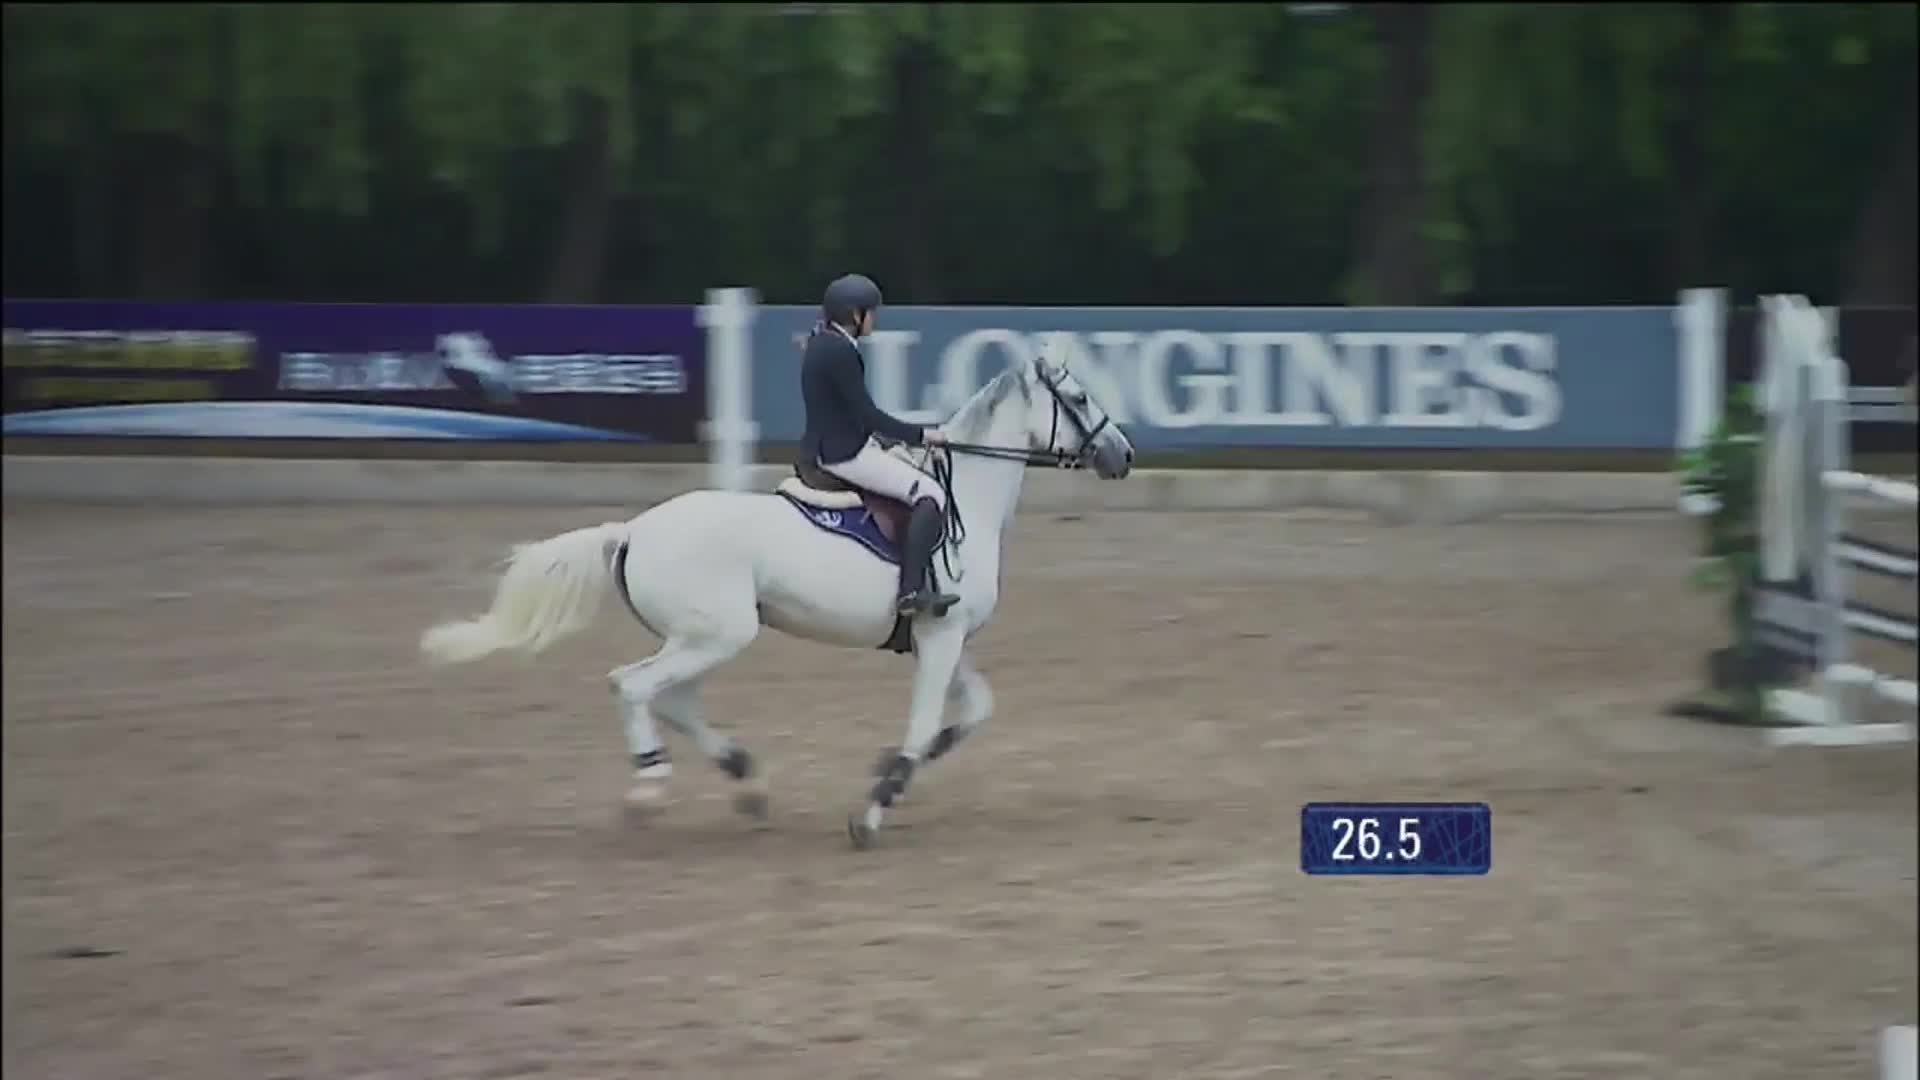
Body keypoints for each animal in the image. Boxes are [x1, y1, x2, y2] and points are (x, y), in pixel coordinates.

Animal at [419, 347, 1136, 848]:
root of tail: (632, 531)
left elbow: (974, 711)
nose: (1123, 454)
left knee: (670, 697)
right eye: (1077, 395)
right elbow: (926, 722)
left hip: (701, 636)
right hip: (719, 633)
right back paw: (651, 786)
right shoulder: (939, 636)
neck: (967, 501)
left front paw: (897, 767)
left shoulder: (942, 638)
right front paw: (873, 809)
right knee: (633, 685)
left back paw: (746, 781)